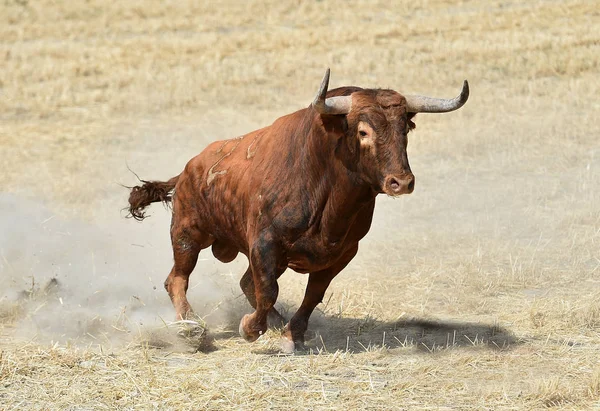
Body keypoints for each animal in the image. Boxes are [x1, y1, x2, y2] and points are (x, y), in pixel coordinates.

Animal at [126, 69, 468, 352]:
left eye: (404, 130)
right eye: (363, 132)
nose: (401, 182)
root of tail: (189, 168)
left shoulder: (342, 252)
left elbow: (311, 294)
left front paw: (292, 334)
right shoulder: (264, 244)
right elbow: (268, 289)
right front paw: (250, 328)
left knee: (242, 282)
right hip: (187, 234)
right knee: (177, 279)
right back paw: (192, 329)